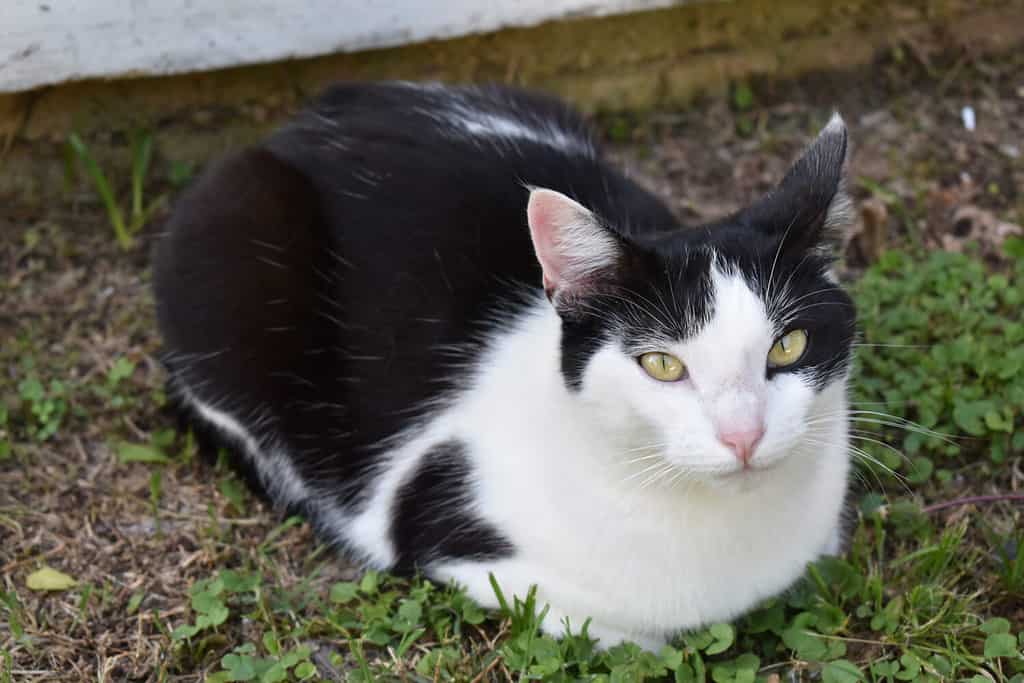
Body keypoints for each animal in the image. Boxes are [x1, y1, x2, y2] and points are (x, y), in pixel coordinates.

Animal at [151, 81, 856, 651]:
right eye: (661, 365)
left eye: (787, 346)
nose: (743, 436)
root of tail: (304, 120)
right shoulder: (455, 539)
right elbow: (622, 634)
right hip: (231, 233)